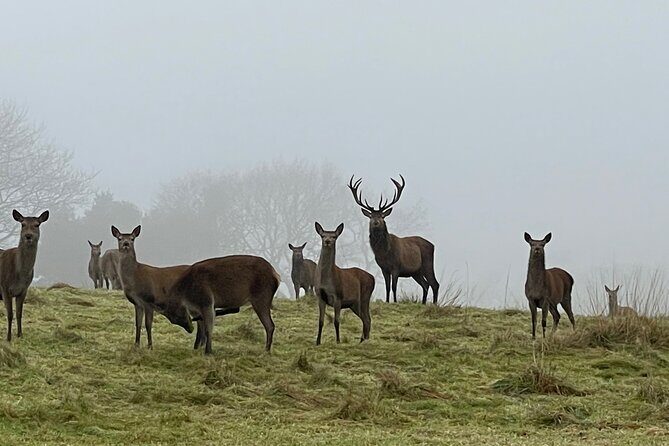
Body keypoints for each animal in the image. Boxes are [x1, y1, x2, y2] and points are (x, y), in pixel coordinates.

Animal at [0, 210, 49, 341]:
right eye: (23, 224)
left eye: (37, 224)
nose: (28, 236)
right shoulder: (4, 287)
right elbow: (10, 314)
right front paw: (8, 338)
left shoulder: (24, 290)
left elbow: (19, 313)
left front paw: (20, 334)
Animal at [348, 175, 439, 304]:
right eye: (371, 216)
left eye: (382, 216)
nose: (376, 222)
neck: (384, 253)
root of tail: (433, 245)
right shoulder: (383, 268)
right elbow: (387, 286)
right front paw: (387, 301)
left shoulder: (396, 266)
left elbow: (394, 286)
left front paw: (395, 301)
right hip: (416, 272)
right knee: (425, 285)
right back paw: (423, 303)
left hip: (428, 263)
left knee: (434, 284)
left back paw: (434, 304)